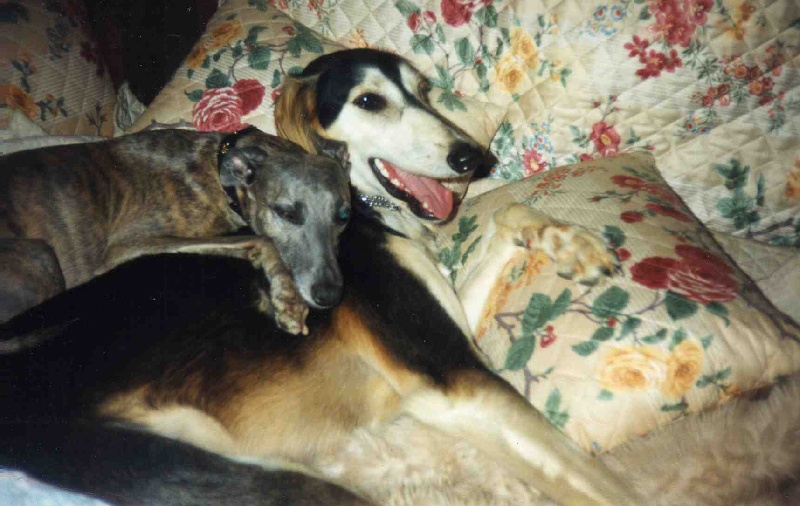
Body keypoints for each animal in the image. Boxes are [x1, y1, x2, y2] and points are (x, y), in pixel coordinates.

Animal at [0, 127, 351, 334]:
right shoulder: (128, 245)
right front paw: (288, 299)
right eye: (285, 212)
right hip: (39, 254)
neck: (218, 172)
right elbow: (262, 237)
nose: (329, 295)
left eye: (344, 214)